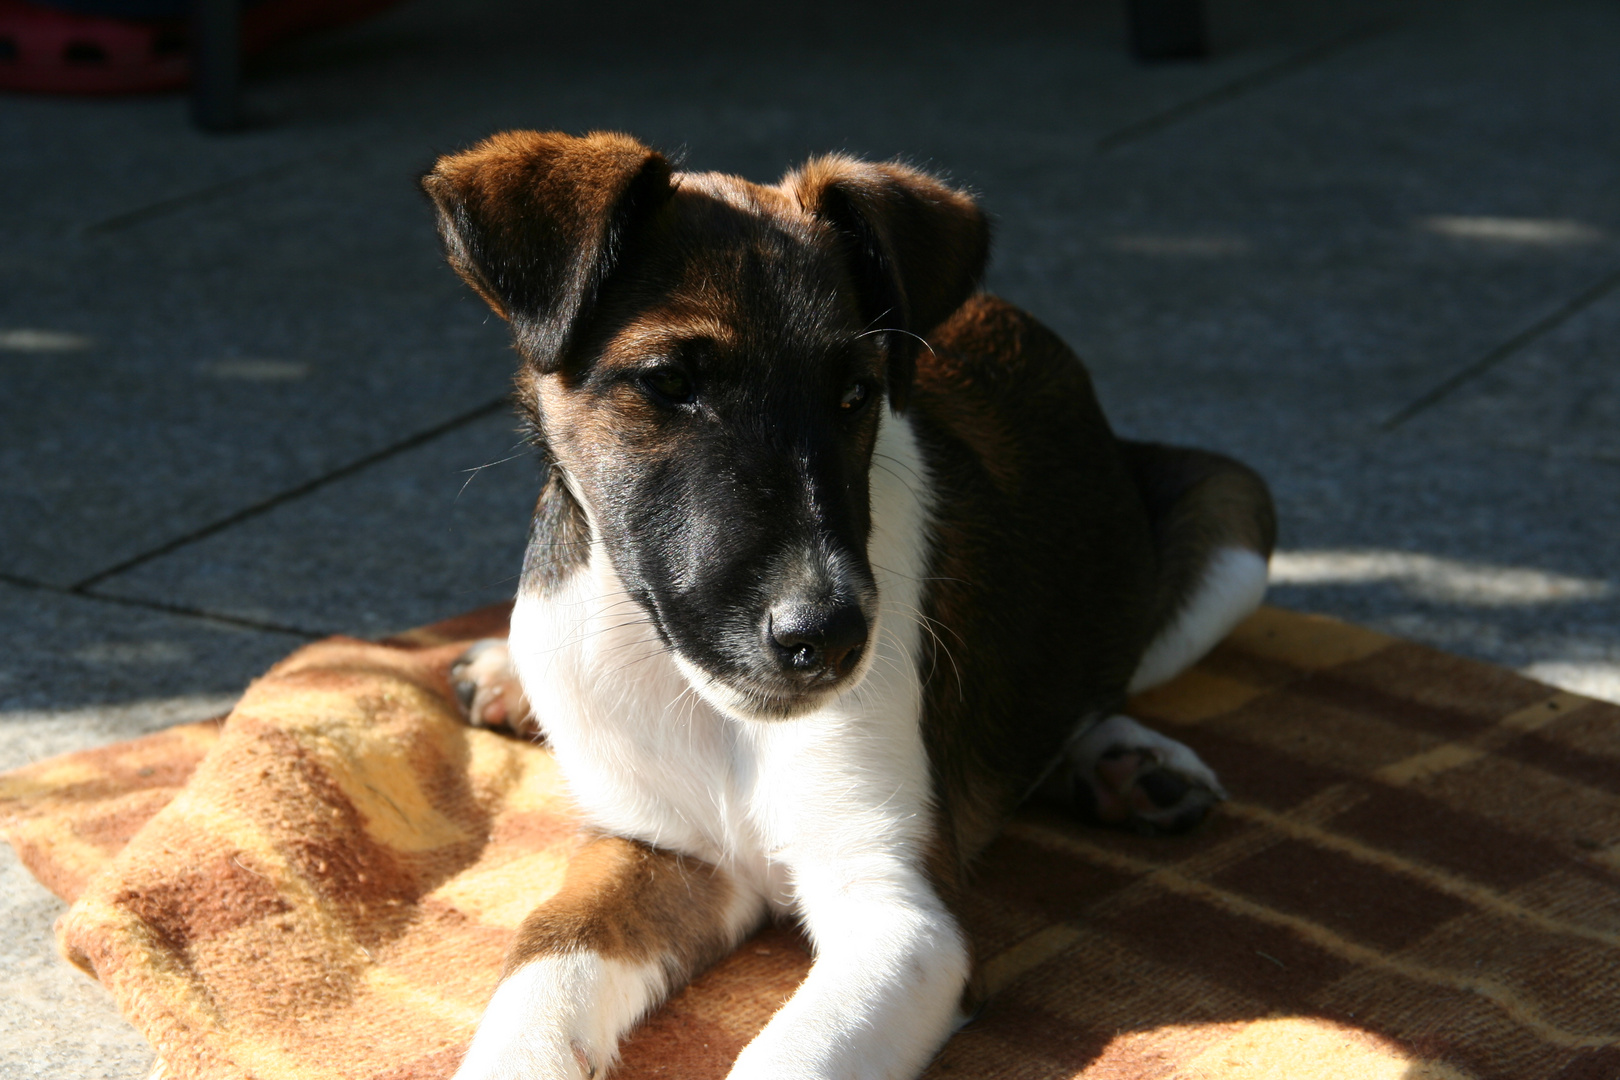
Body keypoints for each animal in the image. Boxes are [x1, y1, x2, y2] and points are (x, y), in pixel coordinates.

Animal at [421, 132, 1276, 1080]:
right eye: (667, 381)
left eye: (855, 394)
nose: (828, 640)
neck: (696, 697)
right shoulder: (656, 851)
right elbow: (538, 975)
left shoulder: (901, 915)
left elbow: (784, 1062)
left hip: (1234, 518)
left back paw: (1130, 765)